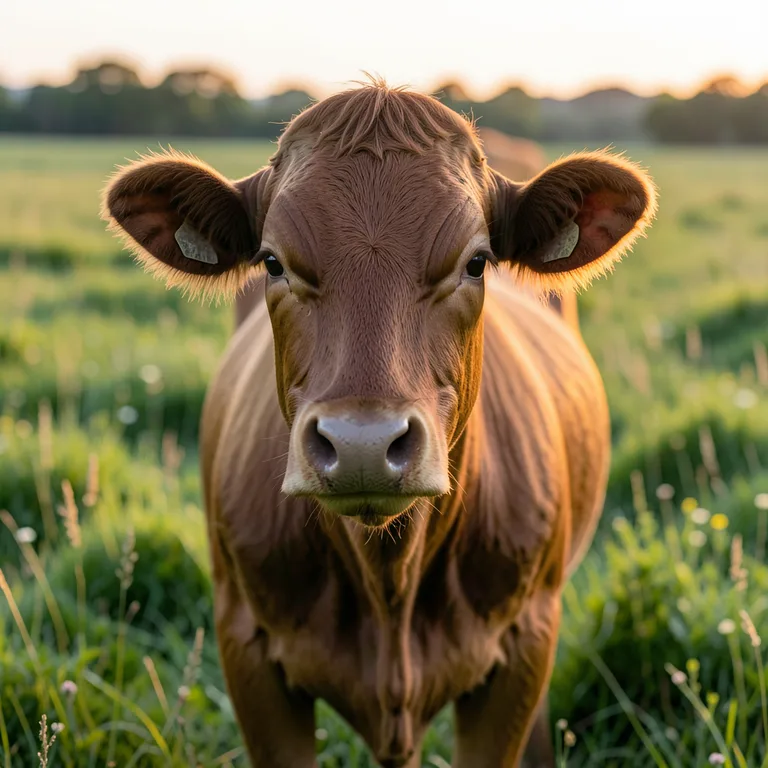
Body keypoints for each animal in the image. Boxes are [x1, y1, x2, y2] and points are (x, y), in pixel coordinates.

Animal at [103, 82, 656, 768]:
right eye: (271, 262)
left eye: (478, 262)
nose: (362, 444)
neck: (388, 582)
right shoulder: (246, 645)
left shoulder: (522, 644)